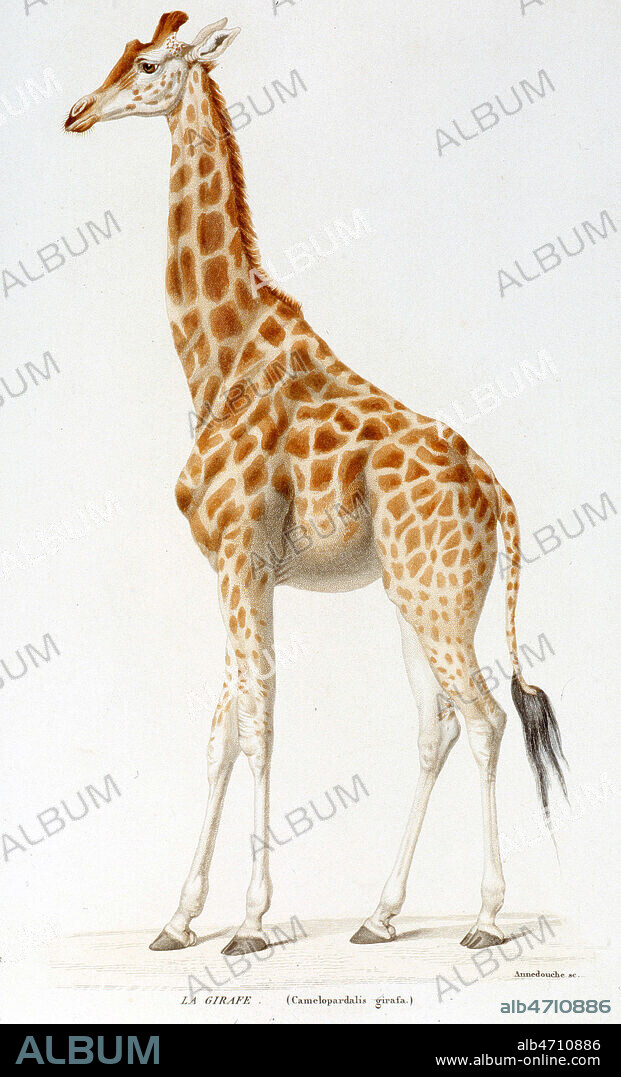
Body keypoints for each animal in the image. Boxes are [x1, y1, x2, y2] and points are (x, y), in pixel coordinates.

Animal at [66, 11, 567, 955]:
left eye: (146, 66)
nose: (77, 112)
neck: (215, 361)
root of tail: (496, 491)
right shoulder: (243, 569)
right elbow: (224, 726)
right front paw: (178, 918)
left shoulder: (237, 557)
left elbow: (258, 719)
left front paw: (250, 921)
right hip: (421, 595)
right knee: (437, 724)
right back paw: (378, 914)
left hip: (434, 596)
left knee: (483, 718)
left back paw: (485, 917)